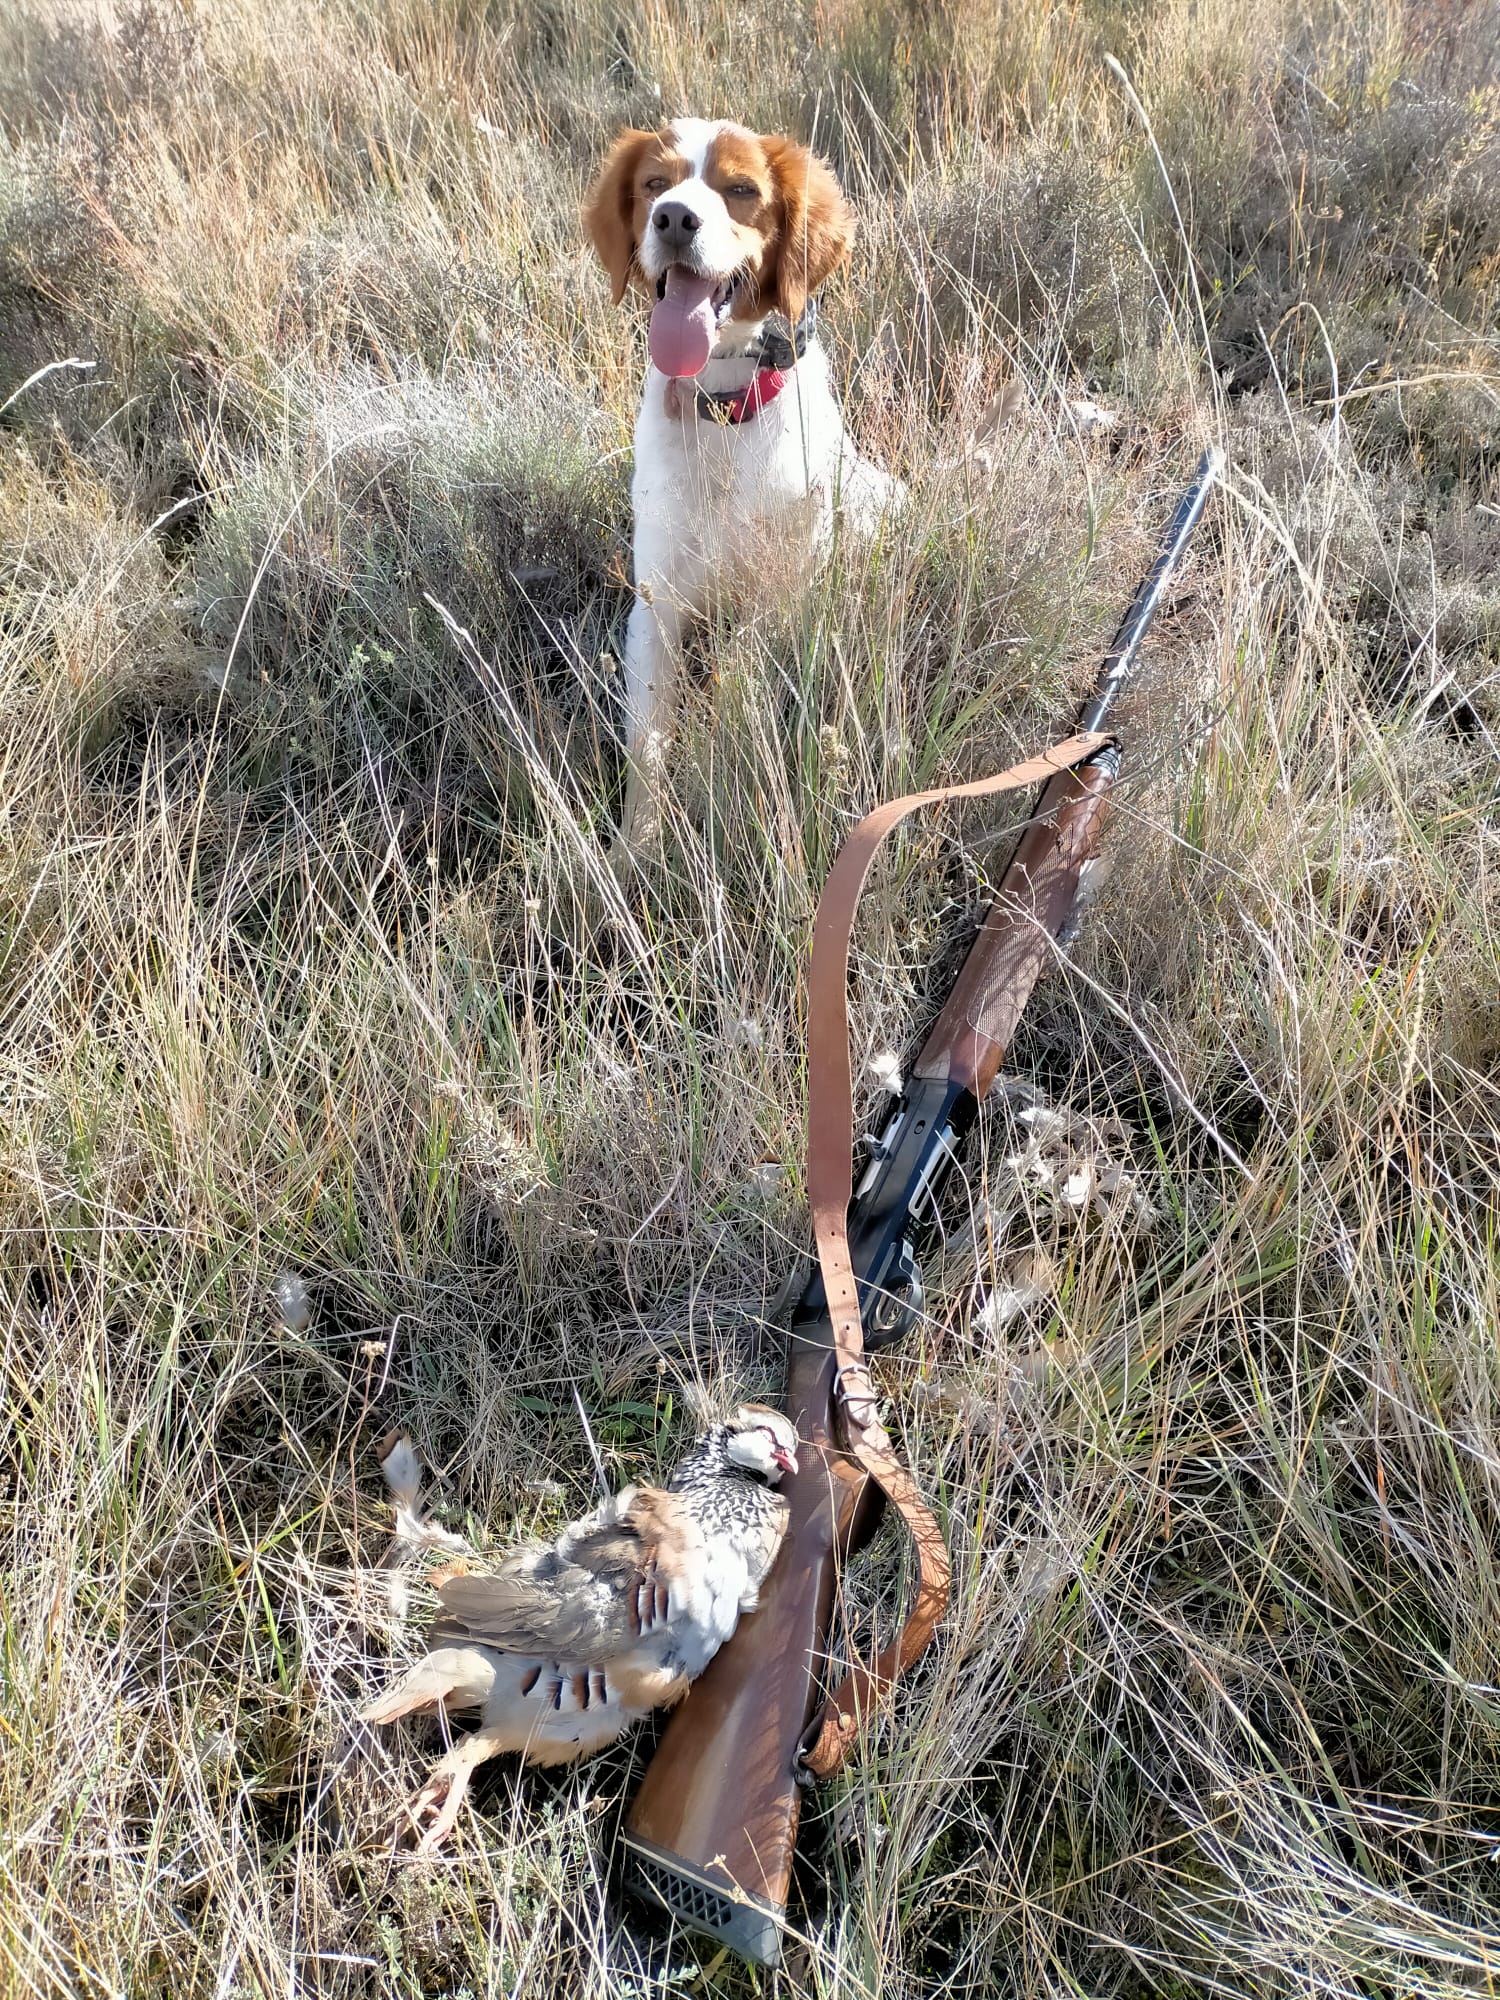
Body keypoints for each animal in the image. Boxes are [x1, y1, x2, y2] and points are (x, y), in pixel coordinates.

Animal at [584, 117, 904, 852]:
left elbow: (731, 699)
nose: (675, 218)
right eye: (655, 183)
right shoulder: (656, 607)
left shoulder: (772, 606)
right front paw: (634, 851)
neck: (725, 411)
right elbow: (648, 745)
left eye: (741, 190)